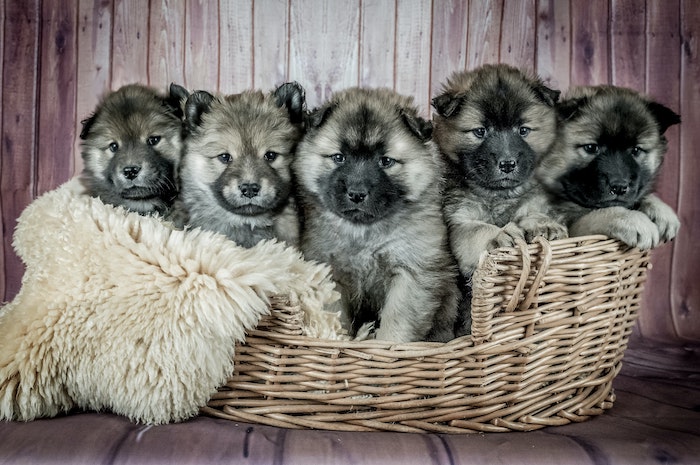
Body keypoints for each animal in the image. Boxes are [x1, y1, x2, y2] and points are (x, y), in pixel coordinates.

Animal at [294, 87, 462, 340]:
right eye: (339, 157)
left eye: (385, 161)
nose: (356, 193)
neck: (365, 232)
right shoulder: (330, 273)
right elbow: (335, 316)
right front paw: (339, 340)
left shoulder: (409, 272)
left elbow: (397, 321)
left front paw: (387, 343)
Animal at [536, 84, 684, 248]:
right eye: (591, 148)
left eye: (636, 150)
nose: (619, 187)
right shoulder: (574, 229)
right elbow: (598, 213)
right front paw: (634, 220)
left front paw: (663, 211)